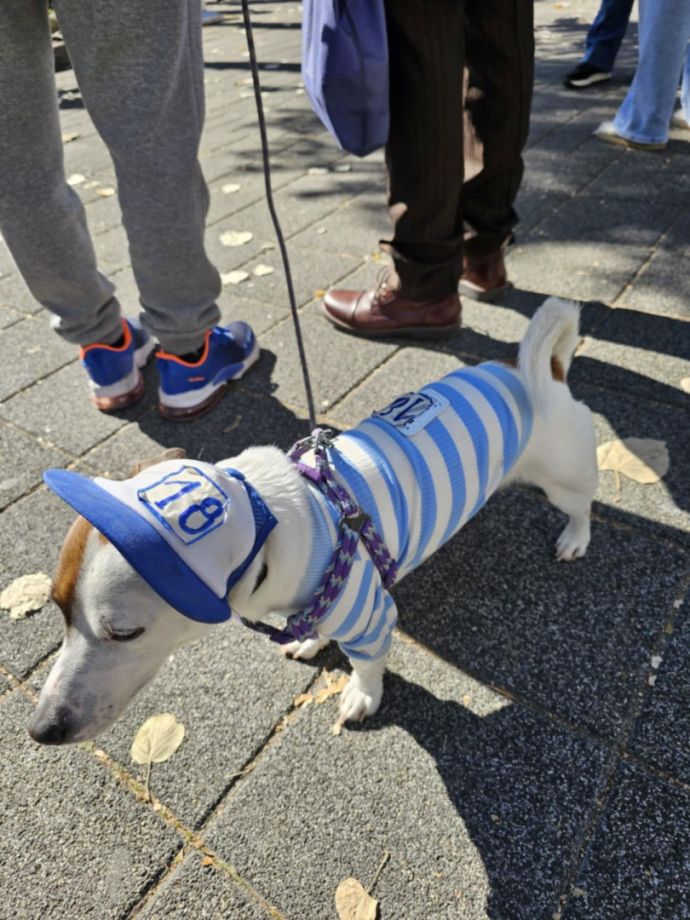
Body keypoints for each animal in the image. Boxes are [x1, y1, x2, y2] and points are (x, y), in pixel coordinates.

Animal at [29, 297, 598, 744]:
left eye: (125, 633)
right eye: (57, 610)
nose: (40, 729)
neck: (274, 520)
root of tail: (534, 370)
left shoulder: (372, 617)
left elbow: (367, 664)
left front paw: (361, 696)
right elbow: (316, 626)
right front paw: (309, 639)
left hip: (563, 475)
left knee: (583, 505)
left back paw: (575, 538)